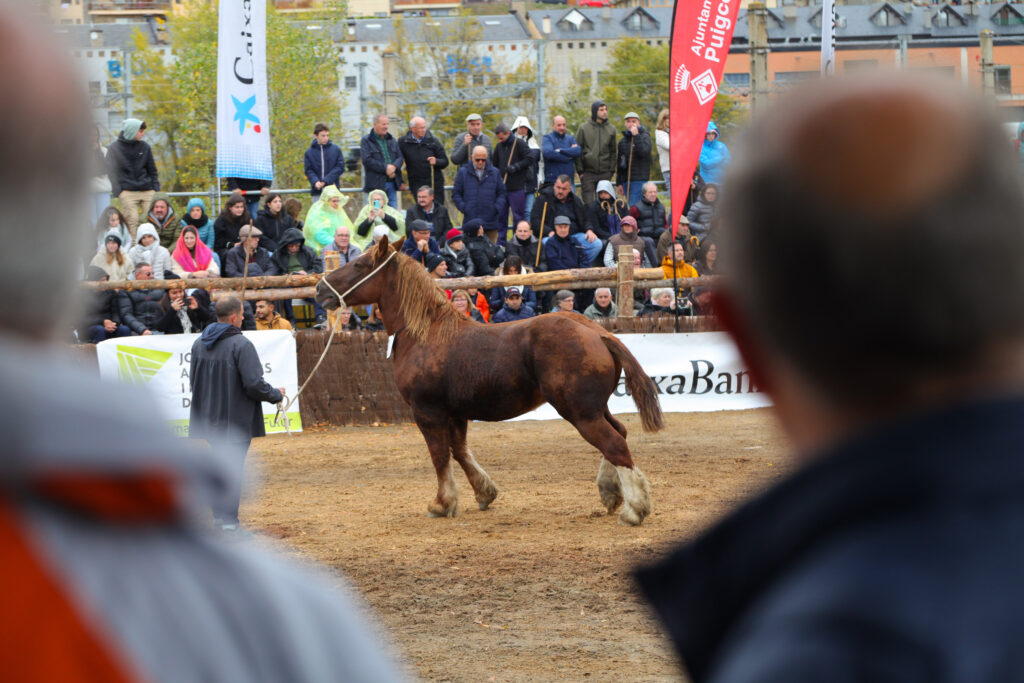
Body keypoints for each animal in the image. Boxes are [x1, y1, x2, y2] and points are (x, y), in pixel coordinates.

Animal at [315, 237, 663, 528]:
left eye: (360, 265)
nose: (320, 290)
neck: (426, 334)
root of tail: (598, 333)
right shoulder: (456, 413)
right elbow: (460, 451)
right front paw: (484, 493)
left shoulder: (428, 413)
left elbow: (440, 456)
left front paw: (442, 503)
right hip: (594, 407)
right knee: (619, 433)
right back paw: (611, 494)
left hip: (580, 412)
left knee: (614, 444)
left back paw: (634, 509)